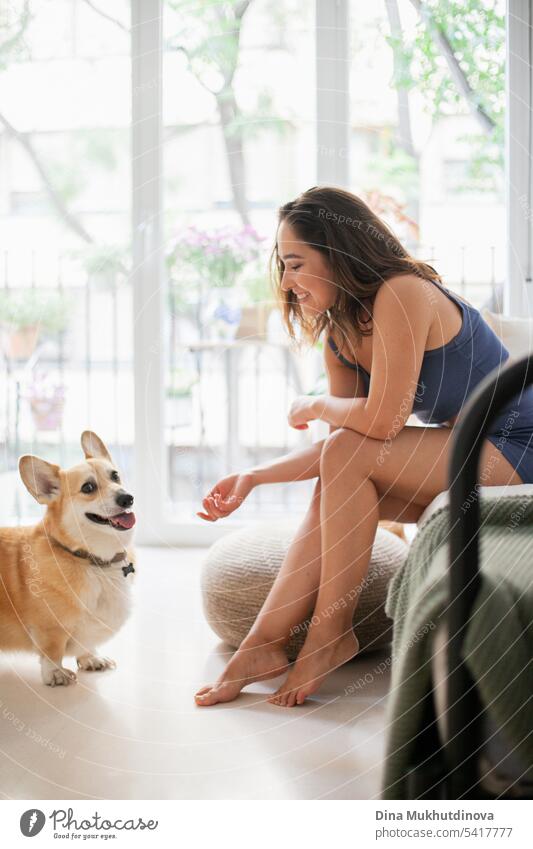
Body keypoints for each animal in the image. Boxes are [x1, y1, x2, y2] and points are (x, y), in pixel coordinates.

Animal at [0, 434, 135, 684]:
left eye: (115, 476)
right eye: (88, 487)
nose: (127, 498)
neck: (94, 561)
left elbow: (85, 644)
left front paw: (91, 658)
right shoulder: (49, 628)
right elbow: (53, 651)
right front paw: (55, 673)